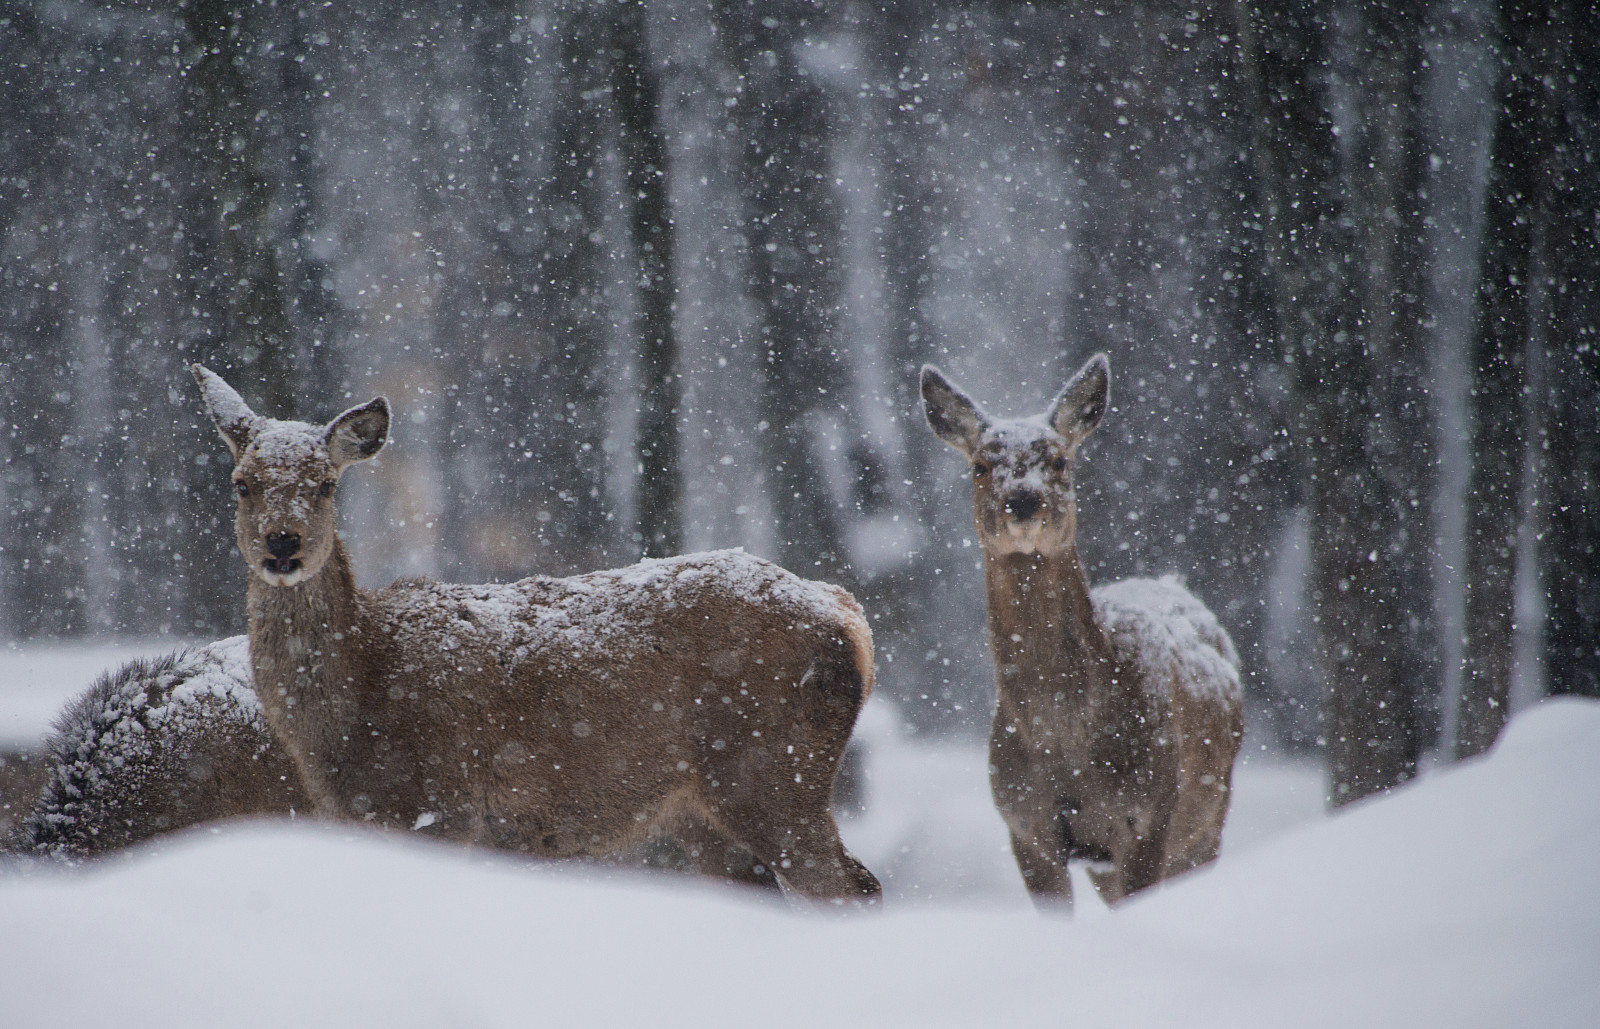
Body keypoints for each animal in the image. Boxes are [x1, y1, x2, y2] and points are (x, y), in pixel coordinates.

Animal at [190, 365, 880, 904]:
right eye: (242, 483)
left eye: (325, 484)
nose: (283, 545)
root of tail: (848, 617)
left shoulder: (441, 807)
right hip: (703, 814)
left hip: (775, 773)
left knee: (854, 887)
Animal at [921, 353, 1243, 909]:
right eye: (980, 465)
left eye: (1058, 461)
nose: (1023, 501)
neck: (1066, 743)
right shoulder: (1025, 827)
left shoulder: (1149, 814)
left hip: (1207, 816)